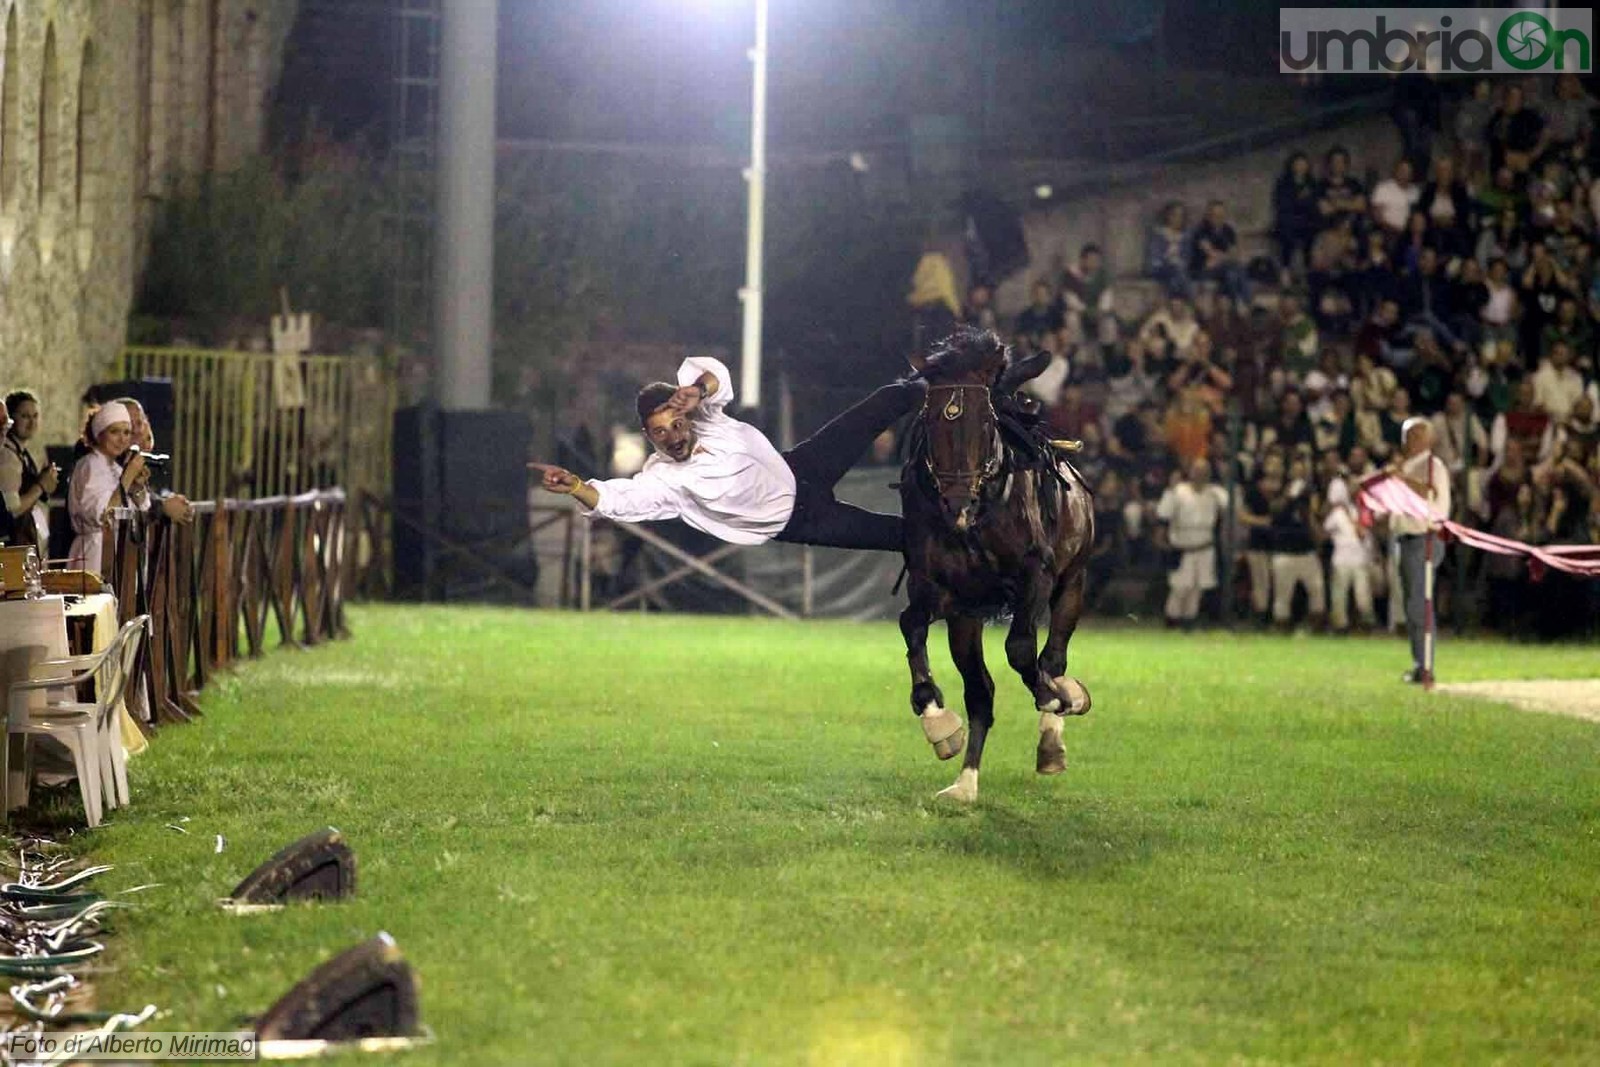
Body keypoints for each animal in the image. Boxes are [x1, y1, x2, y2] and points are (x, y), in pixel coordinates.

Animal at [896, 329, 1094, 806]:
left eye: (985, 424)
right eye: (931, 420)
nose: (957, 504)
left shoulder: (1035, 574)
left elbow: (1022, 650)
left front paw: (1057, 697)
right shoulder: (940, 590)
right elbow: (911, 624)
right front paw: (935, 716)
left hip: (1073, 580)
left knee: (1053, 655)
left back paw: (1054, 727)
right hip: (966, 617)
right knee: (980, 690)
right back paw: (966, 781)